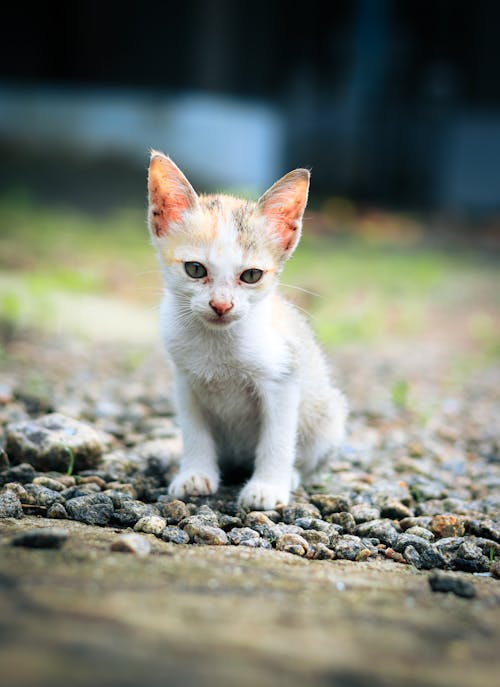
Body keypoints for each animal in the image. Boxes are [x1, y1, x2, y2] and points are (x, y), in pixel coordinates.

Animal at [146, 152, 346, 510]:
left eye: (251, 275)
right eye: (195, 269)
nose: (221, 305)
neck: (217, 343)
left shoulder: (283, 378)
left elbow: (277, 439)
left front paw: (268, 487)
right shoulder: (184, 379)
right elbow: (194, 431)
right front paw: (195, 474)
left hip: (329, 417)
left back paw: (291, 477)